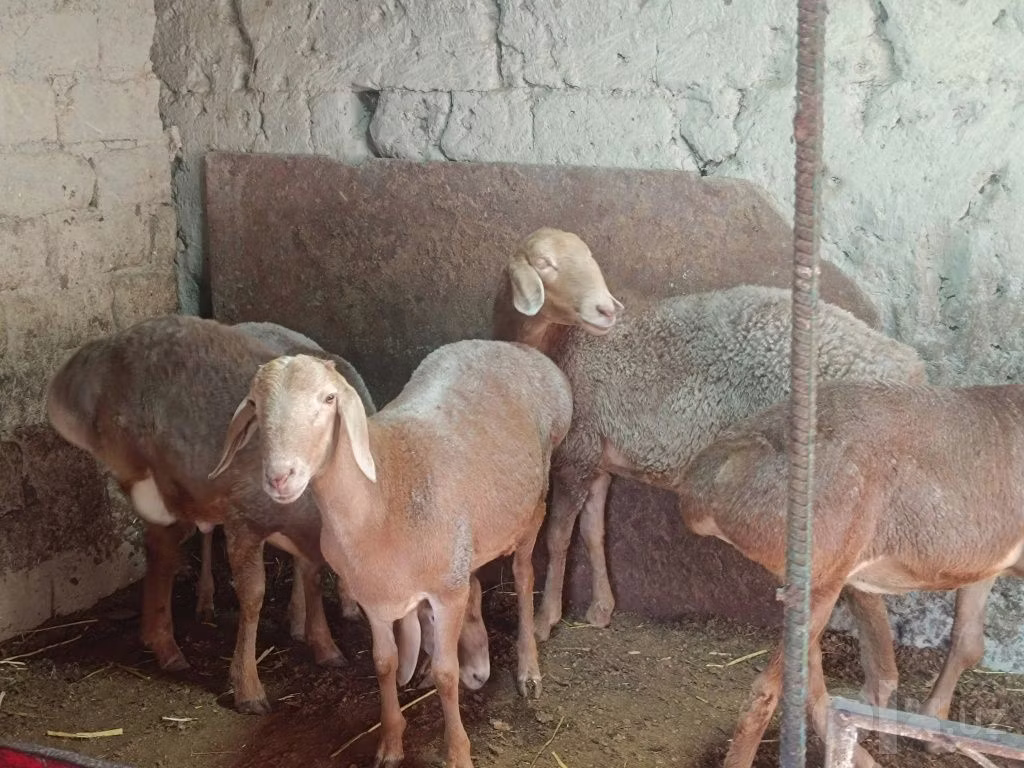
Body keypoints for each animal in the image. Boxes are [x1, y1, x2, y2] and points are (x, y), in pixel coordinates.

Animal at [45, 315, 490, 714]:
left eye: (477, 605)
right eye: (433, 613)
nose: (478, 676)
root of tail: (82, 364)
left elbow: (311, 575)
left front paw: (322, 643)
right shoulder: (243, 520)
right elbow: (254, 596)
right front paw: (247, 685)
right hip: (149, 479)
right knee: (162, 552)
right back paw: (167, 641)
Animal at [210, 340, 573, 768]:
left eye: (329, 398)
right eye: (254, 403)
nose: (280, 477)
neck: (381, 494)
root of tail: (513, 348)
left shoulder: (445, 591)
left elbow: (447, 675)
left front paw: (457, 751)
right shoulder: (374, 596)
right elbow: (384, 664)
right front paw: (390, 743)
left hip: (533, 510)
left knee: (523, 578)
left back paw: (528, 670)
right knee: (477, 584)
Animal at [491, 228, 927, 640]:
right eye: (545, 263)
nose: (605, 309)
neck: (558, 343)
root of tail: (905, 368)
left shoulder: (575, 451)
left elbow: (557, 537)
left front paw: (545, 620)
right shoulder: (597, 457)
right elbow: (594, 533)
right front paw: (601, 609)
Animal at [675, 380, 1024, 768]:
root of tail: (712, 476)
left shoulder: (986, 562)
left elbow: (968, 641)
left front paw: (935, 731)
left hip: (810, 582)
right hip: (822, 574)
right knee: (767, 690)